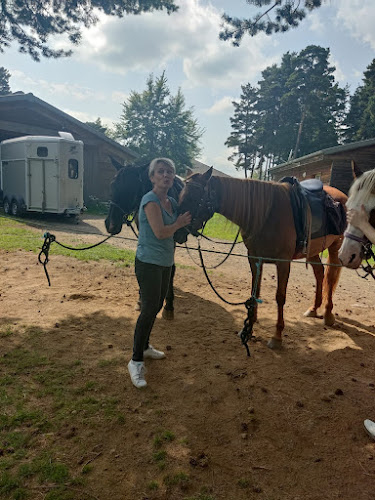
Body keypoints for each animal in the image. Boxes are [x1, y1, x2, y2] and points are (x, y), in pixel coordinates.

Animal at [178, 168, 346, 348]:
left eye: (194, 197)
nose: (177, 232)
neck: (266, 214)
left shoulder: (283, 263)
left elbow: (280, 297)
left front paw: (277, 336)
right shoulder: (254, 258)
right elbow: (255, 291)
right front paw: (249, 327)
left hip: (335, 248)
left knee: (330, 277)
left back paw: (328, 314)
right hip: (313, 251)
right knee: (319, 273)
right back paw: (314, 309)